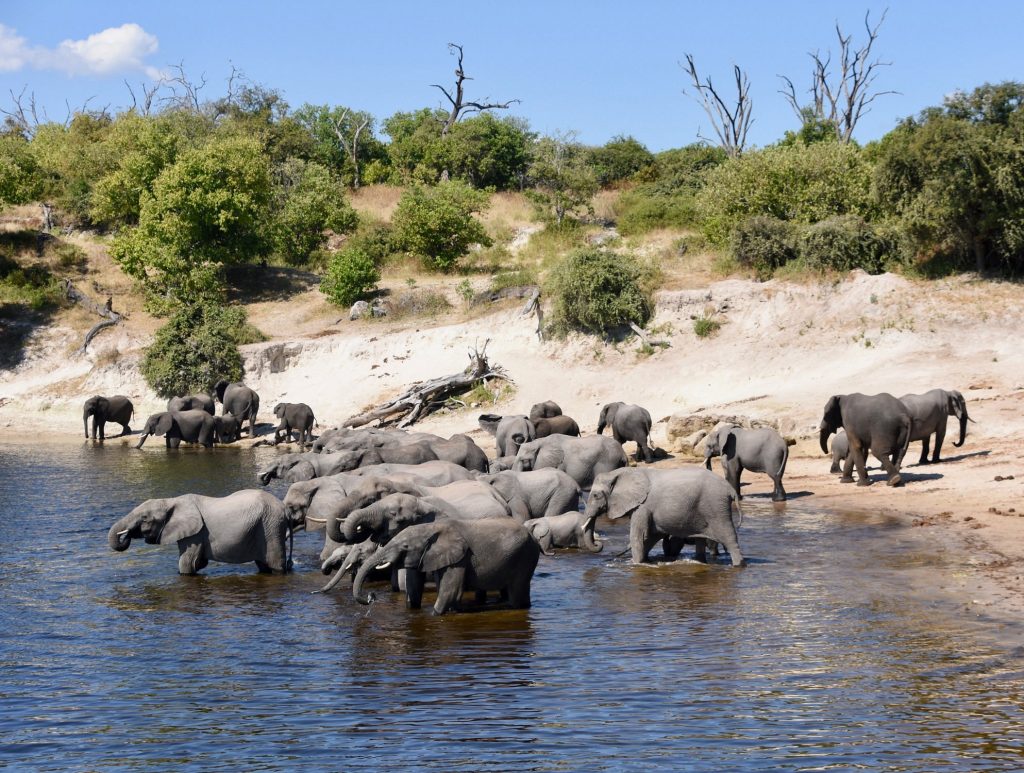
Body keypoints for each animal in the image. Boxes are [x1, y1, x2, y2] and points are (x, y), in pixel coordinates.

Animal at [108, 489, 301, 574]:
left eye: (145, 518)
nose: (126, 535)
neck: (171, 500)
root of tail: (285, 509)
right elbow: (198, 563)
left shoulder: (194, 534)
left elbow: (187, 564)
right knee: (263, 565)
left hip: (271, 526)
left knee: (276, 565)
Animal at [350, 519, 540, 614]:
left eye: (405, 546)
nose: (371, 596)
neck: (430, 528)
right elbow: (415, 588)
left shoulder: (460, 558)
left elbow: (450, 590)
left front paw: (436, 615)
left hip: (525, 556)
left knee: (517, 593)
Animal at [582, 467, 745, 566]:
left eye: (596, 495)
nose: (599, 545)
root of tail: (730, 489)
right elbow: (651, 537)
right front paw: (645, 561)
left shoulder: (643, 507)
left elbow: (638, 536)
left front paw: (637, 564)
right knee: (702, 540)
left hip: (716, 507)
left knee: (729, 538)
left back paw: (738, 565)